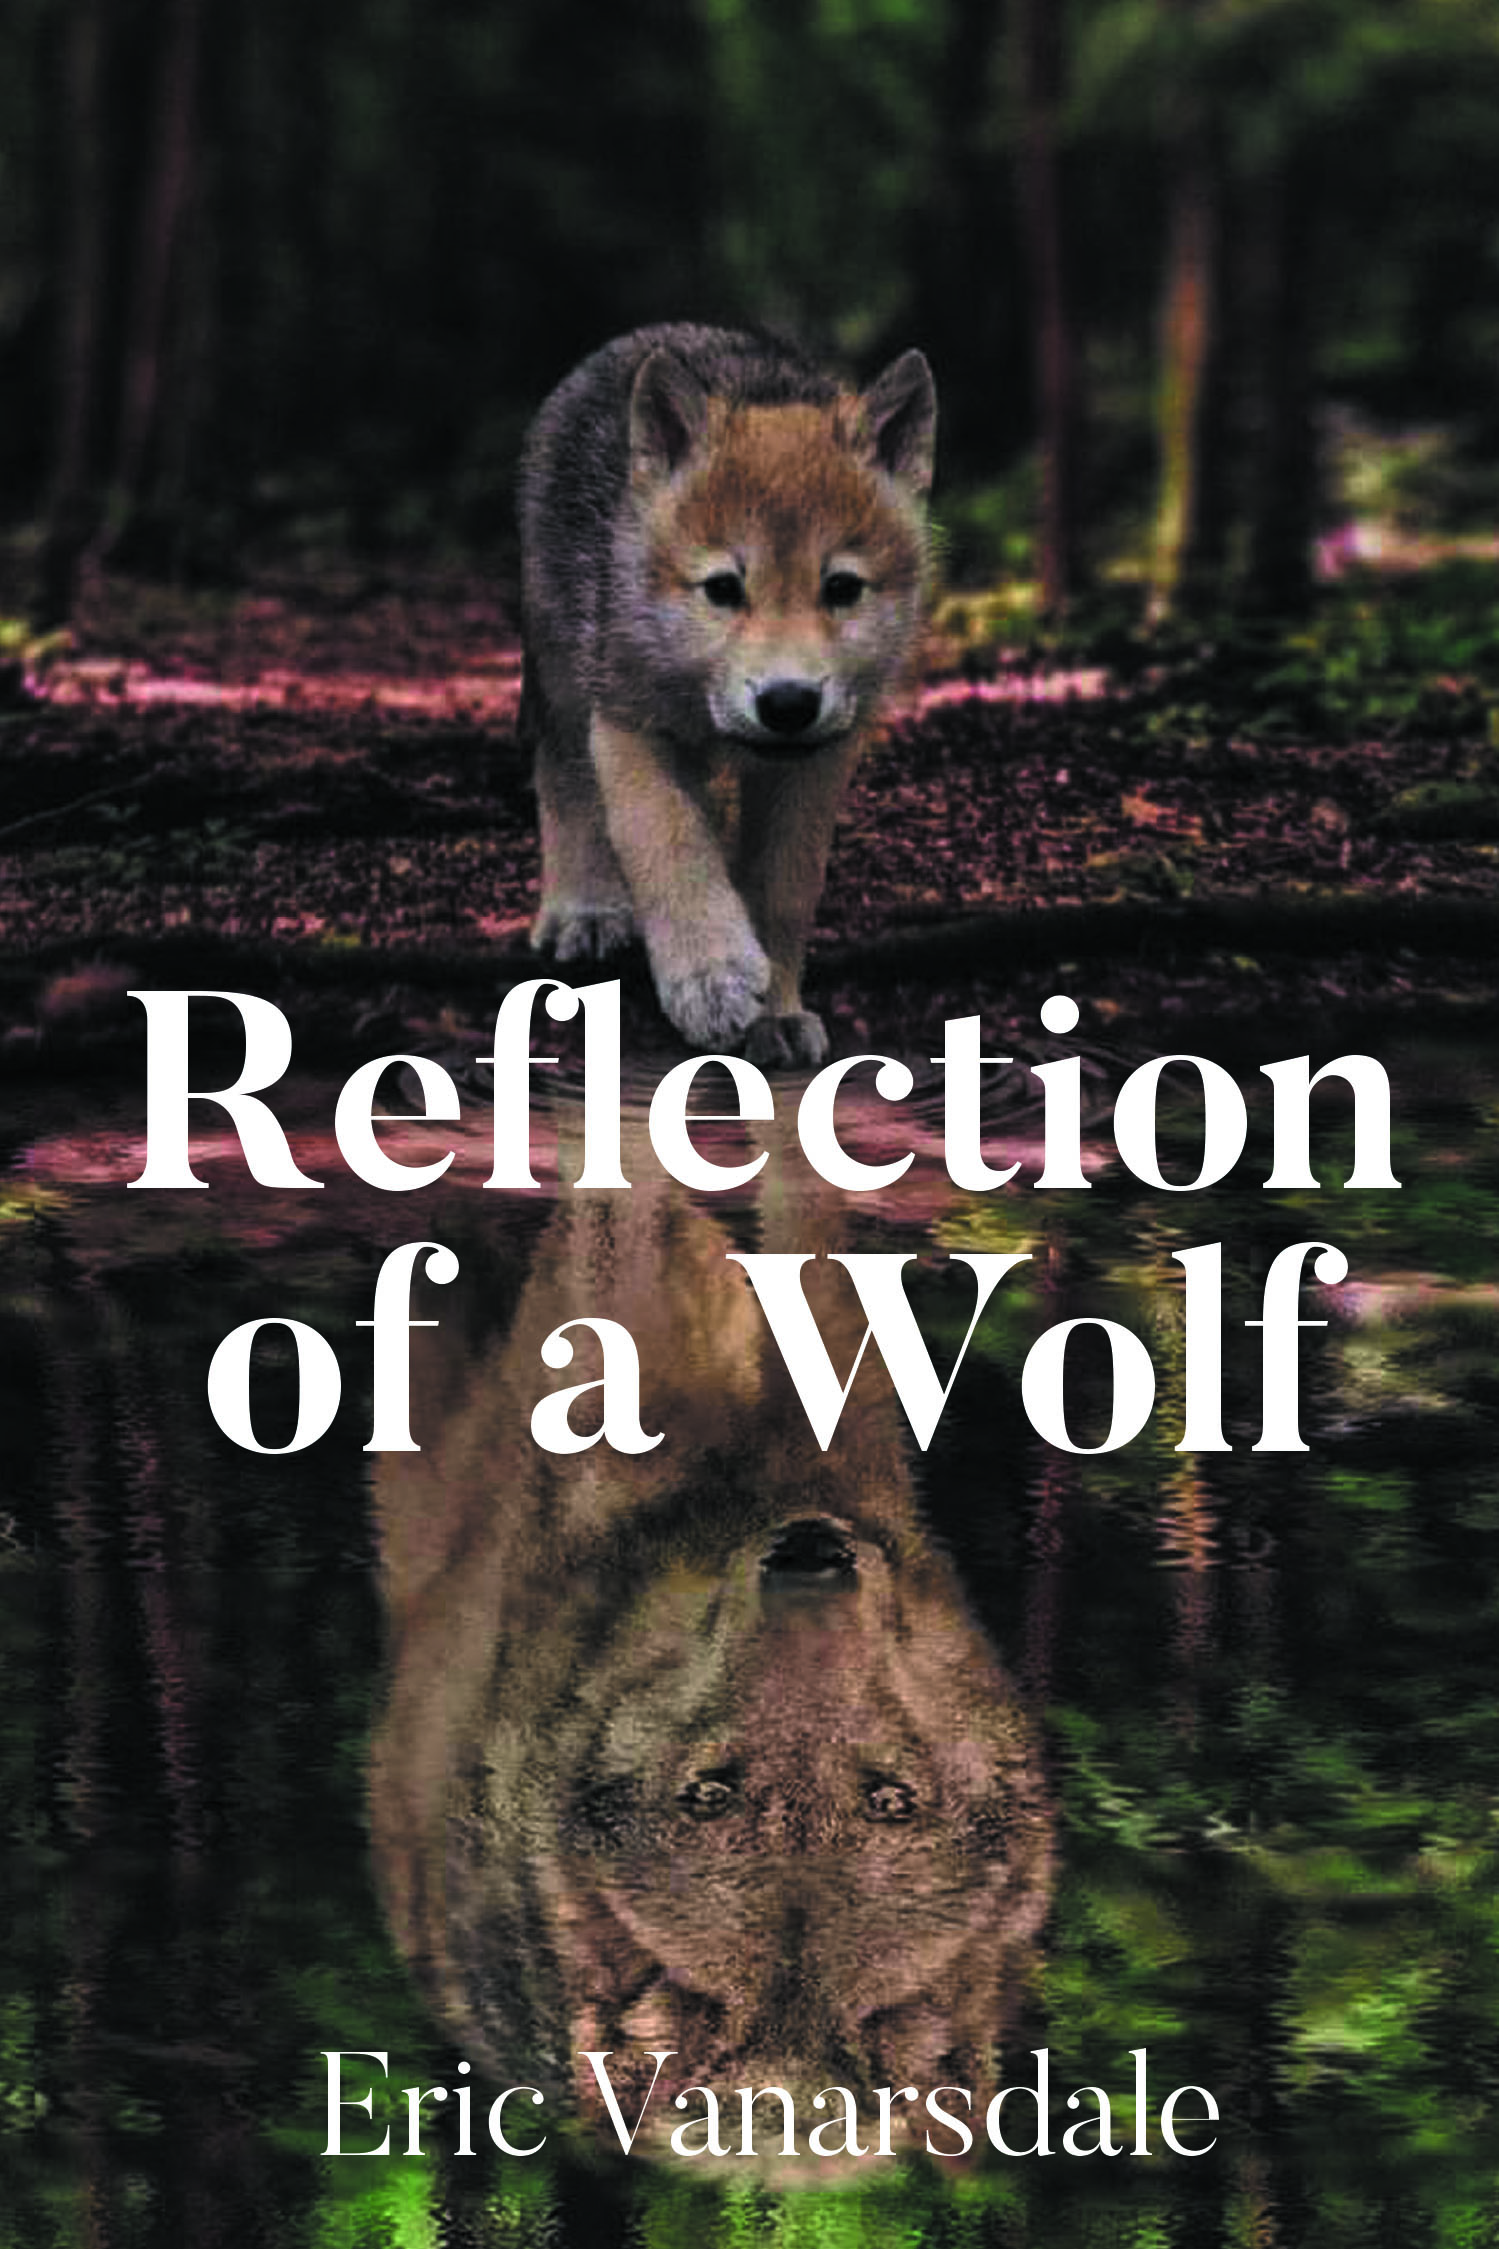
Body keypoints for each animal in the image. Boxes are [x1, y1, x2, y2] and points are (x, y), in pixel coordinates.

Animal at [518, 324, 936, 1068]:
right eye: (722, 588)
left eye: (841, 588)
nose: (788, 702)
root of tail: (656, 332)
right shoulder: (626, 721)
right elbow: (668, 842)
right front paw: (708, 976)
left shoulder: (818, 760)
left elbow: (781, 888)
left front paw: (776, 1011)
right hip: (563, 671)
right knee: (563, 779)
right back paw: (583, 909)